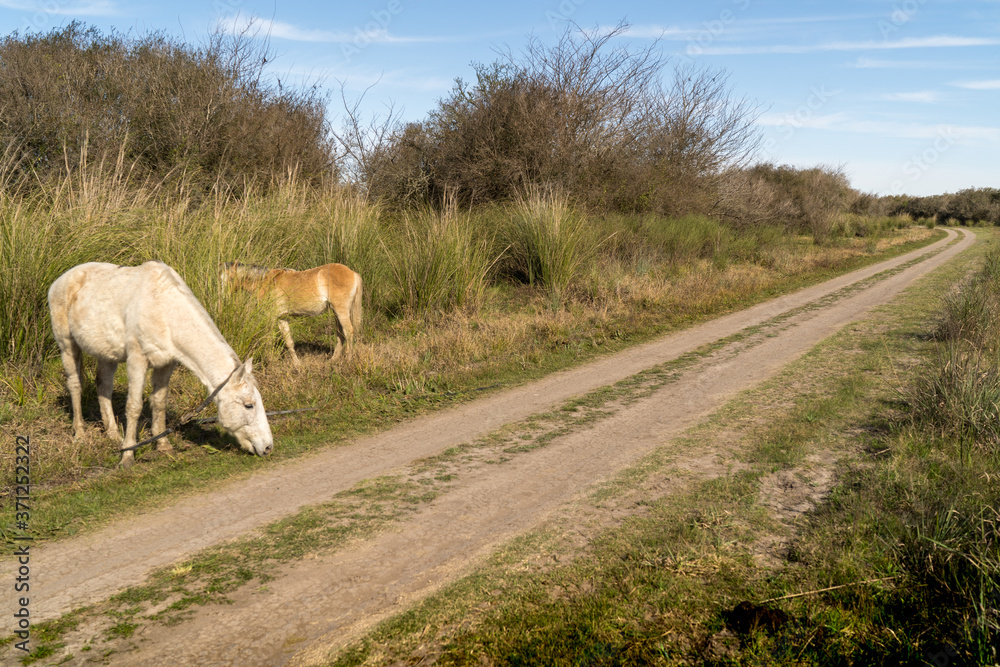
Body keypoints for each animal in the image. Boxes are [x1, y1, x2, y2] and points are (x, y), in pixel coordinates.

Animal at [48, 261, 274, 467]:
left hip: (107, 354)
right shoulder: (137, 360)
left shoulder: (167, 363)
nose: (268, 447)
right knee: (75, 385)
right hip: (67, 345)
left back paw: (113, 435)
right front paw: (127, 455)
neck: (164, 311)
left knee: (103, 387)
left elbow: (159, 402)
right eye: (249, 405)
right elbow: (134, 406)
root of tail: (60, 280)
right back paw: (80, 434)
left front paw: (163, 445)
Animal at [220, 262, 363, 367]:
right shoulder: (282, 319)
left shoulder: (271, 318)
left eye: (231, 279)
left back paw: (348, 360)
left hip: (341, 311)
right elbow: (289, 342)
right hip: (336, 313)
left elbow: (268, 340)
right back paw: (333, 360)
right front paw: (297, 364)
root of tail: (353, 273)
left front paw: (270, 360)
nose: (224, 300)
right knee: (341, 334)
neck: (267, 282)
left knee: (349, 332)